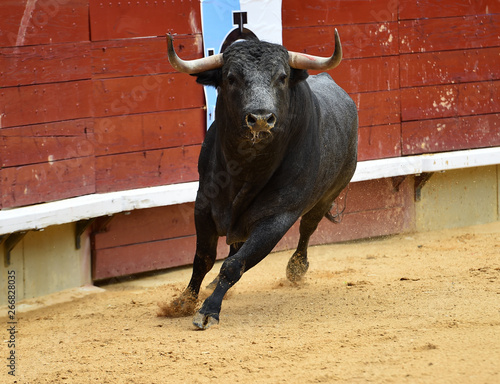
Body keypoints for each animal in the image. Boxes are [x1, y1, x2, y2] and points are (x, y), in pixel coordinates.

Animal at [162, 31, 358, 328]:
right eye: (231, 78)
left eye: (282, 77)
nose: (261, 119)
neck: (245, 168)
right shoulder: (203, 205)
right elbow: (204, 258)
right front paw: (183, 301)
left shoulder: (276, 218)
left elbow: (235, 265)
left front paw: (208, 310)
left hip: (330, 193)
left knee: (307, 228)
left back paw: (296, 268)